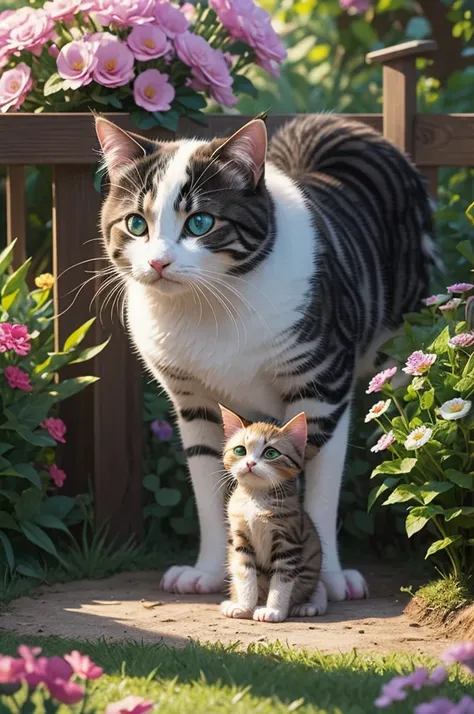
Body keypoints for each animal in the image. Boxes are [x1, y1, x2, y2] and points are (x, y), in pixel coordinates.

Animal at [94, 114, 436, 596]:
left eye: (200, 222)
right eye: (136, 224)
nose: (158, 263)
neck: (209, 307)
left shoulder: (323, 390)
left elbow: (320, 494)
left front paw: (327, 577)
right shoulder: (194, 404)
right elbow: (208, 490)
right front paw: (207, 571)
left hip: (403, 345)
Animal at [218, 404, 326, 620]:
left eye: (271, 454)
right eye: (240, 450)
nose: (250, 463)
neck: (256, 498)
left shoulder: (288, 541)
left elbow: (282, 580)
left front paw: (274, 610)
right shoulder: (240, 539)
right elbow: (245, 573)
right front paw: (243, 606)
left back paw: (306, 605)